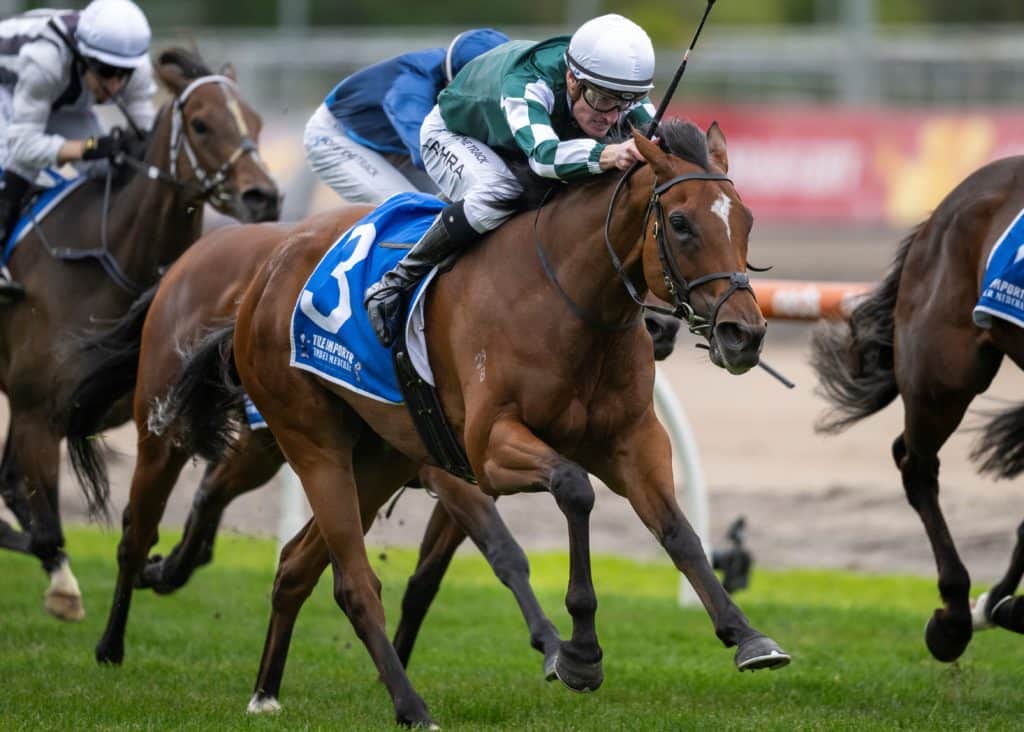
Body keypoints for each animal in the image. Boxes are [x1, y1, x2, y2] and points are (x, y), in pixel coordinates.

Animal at [0, 45, 278, 622]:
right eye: (201, 124)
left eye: (256, 122)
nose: (264, 195)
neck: (106, 261)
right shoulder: (37, 411)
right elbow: (40, 523)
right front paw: (65, 588)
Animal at [167, 120, 790, 728]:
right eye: (680, 223)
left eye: (746, 220)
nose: (744, 333)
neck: (565, 297)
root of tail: (263, 277)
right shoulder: (486, 451)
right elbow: (572, 492)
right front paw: (578, 654)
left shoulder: (633, 440)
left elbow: (678, 532)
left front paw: (747, 635)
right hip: (311, 440)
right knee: (353, 582)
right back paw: (411, 707)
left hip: (378, 457)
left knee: (297, 564)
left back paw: (266, 691)